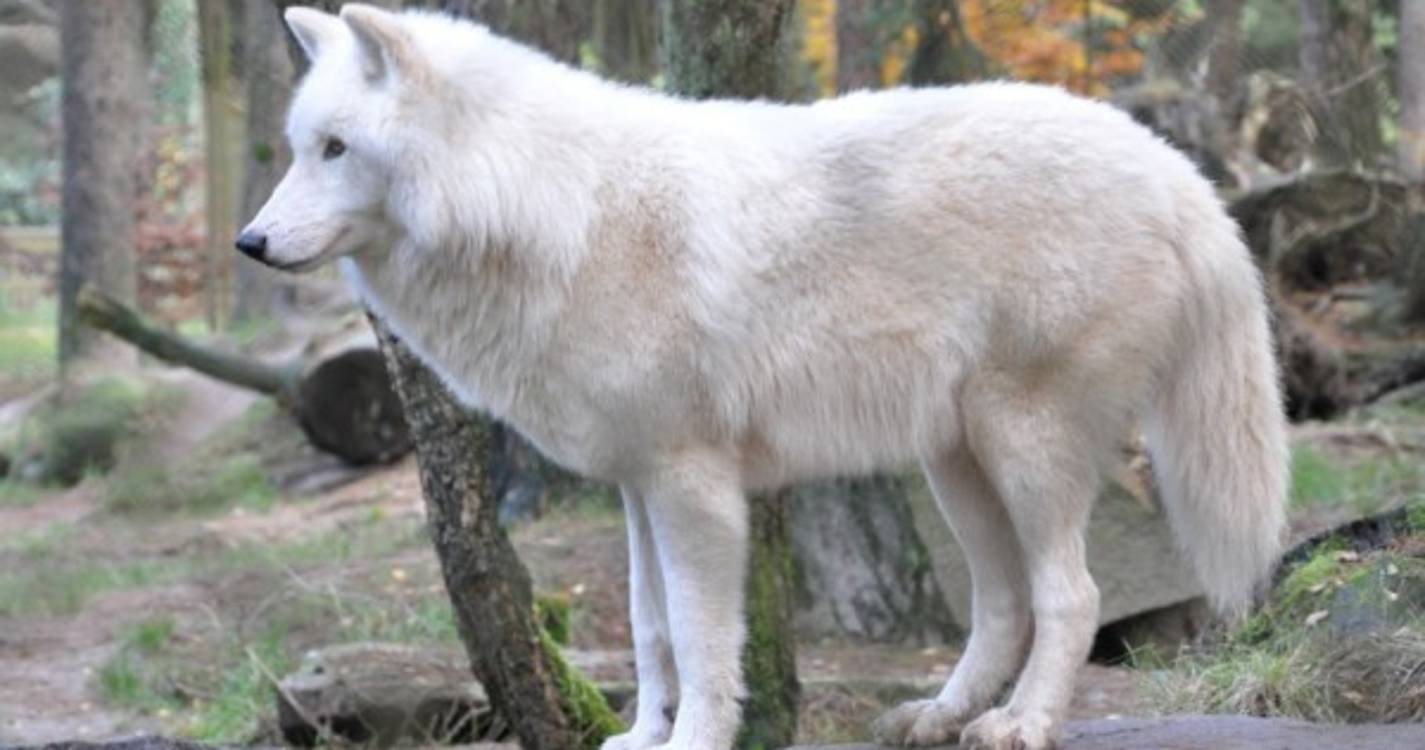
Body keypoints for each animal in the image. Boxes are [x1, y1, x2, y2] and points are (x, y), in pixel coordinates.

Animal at [240, 5, 1289, 749]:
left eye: (336, 148)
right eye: (299, 148)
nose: (249, 243)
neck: (551, 207)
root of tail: (1178, 170)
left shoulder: (692, 486)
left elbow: (704, 641)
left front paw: (692, 744)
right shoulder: (636, 486)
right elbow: (648, 627)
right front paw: (640, 737)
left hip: (1021, 446)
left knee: (1071, 596)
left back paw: (1020, 726)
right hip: (956, 465)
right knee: (1004, 605)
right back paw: (938, 718)